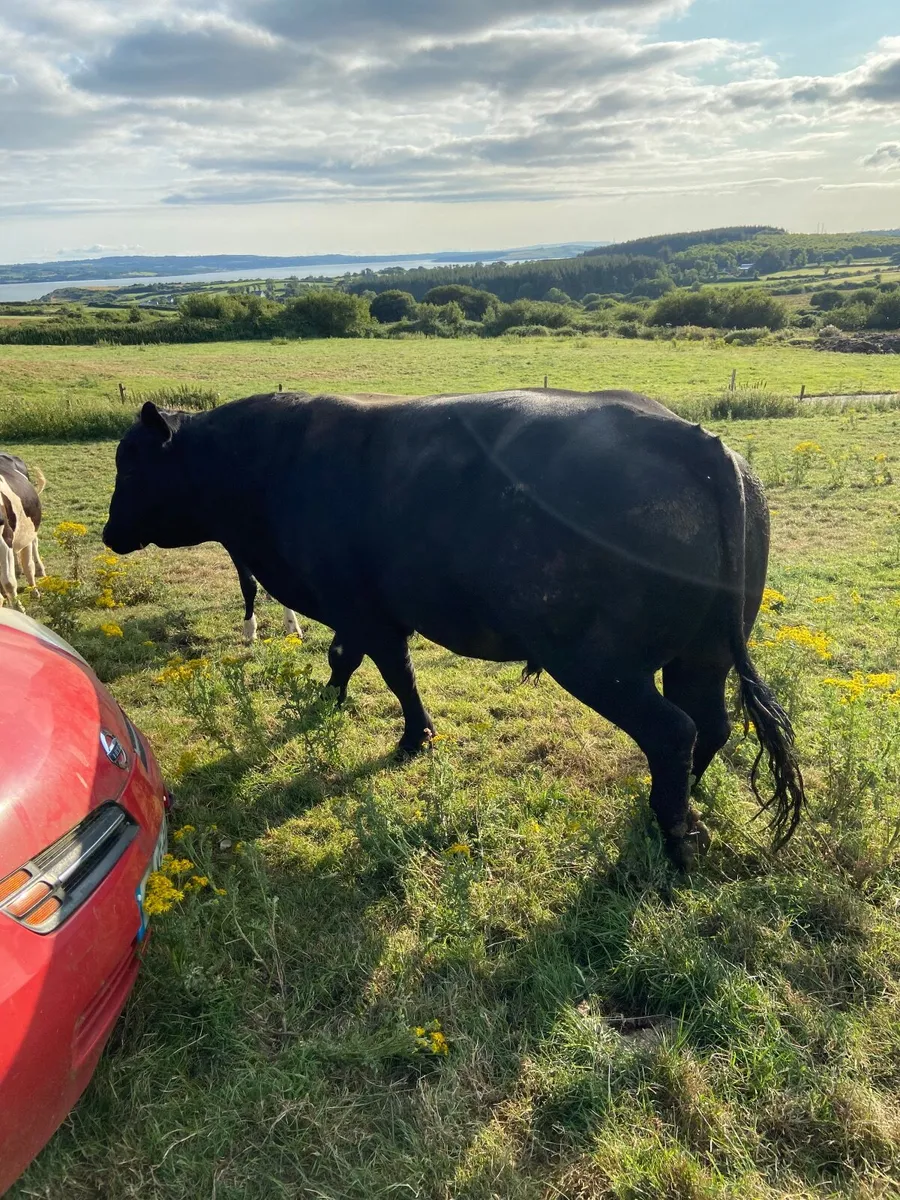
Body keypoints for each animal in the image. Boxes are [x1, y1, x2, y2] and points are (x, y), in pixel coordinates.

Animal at [103, 389, 804, 869]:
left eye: (131, 464)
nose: (109, 533)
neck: (271, 467)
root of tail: (694, 440)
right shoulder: (362, 610)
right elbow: (343, 659)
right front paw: (326, 706)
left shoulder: (362, 609)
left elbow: (390, 672)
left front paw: (413, 736)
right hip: (703, 653)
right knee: (709, 724)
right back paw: (678, 806)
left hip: (599, 663)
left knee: (673, 730)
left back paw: (673, 834)